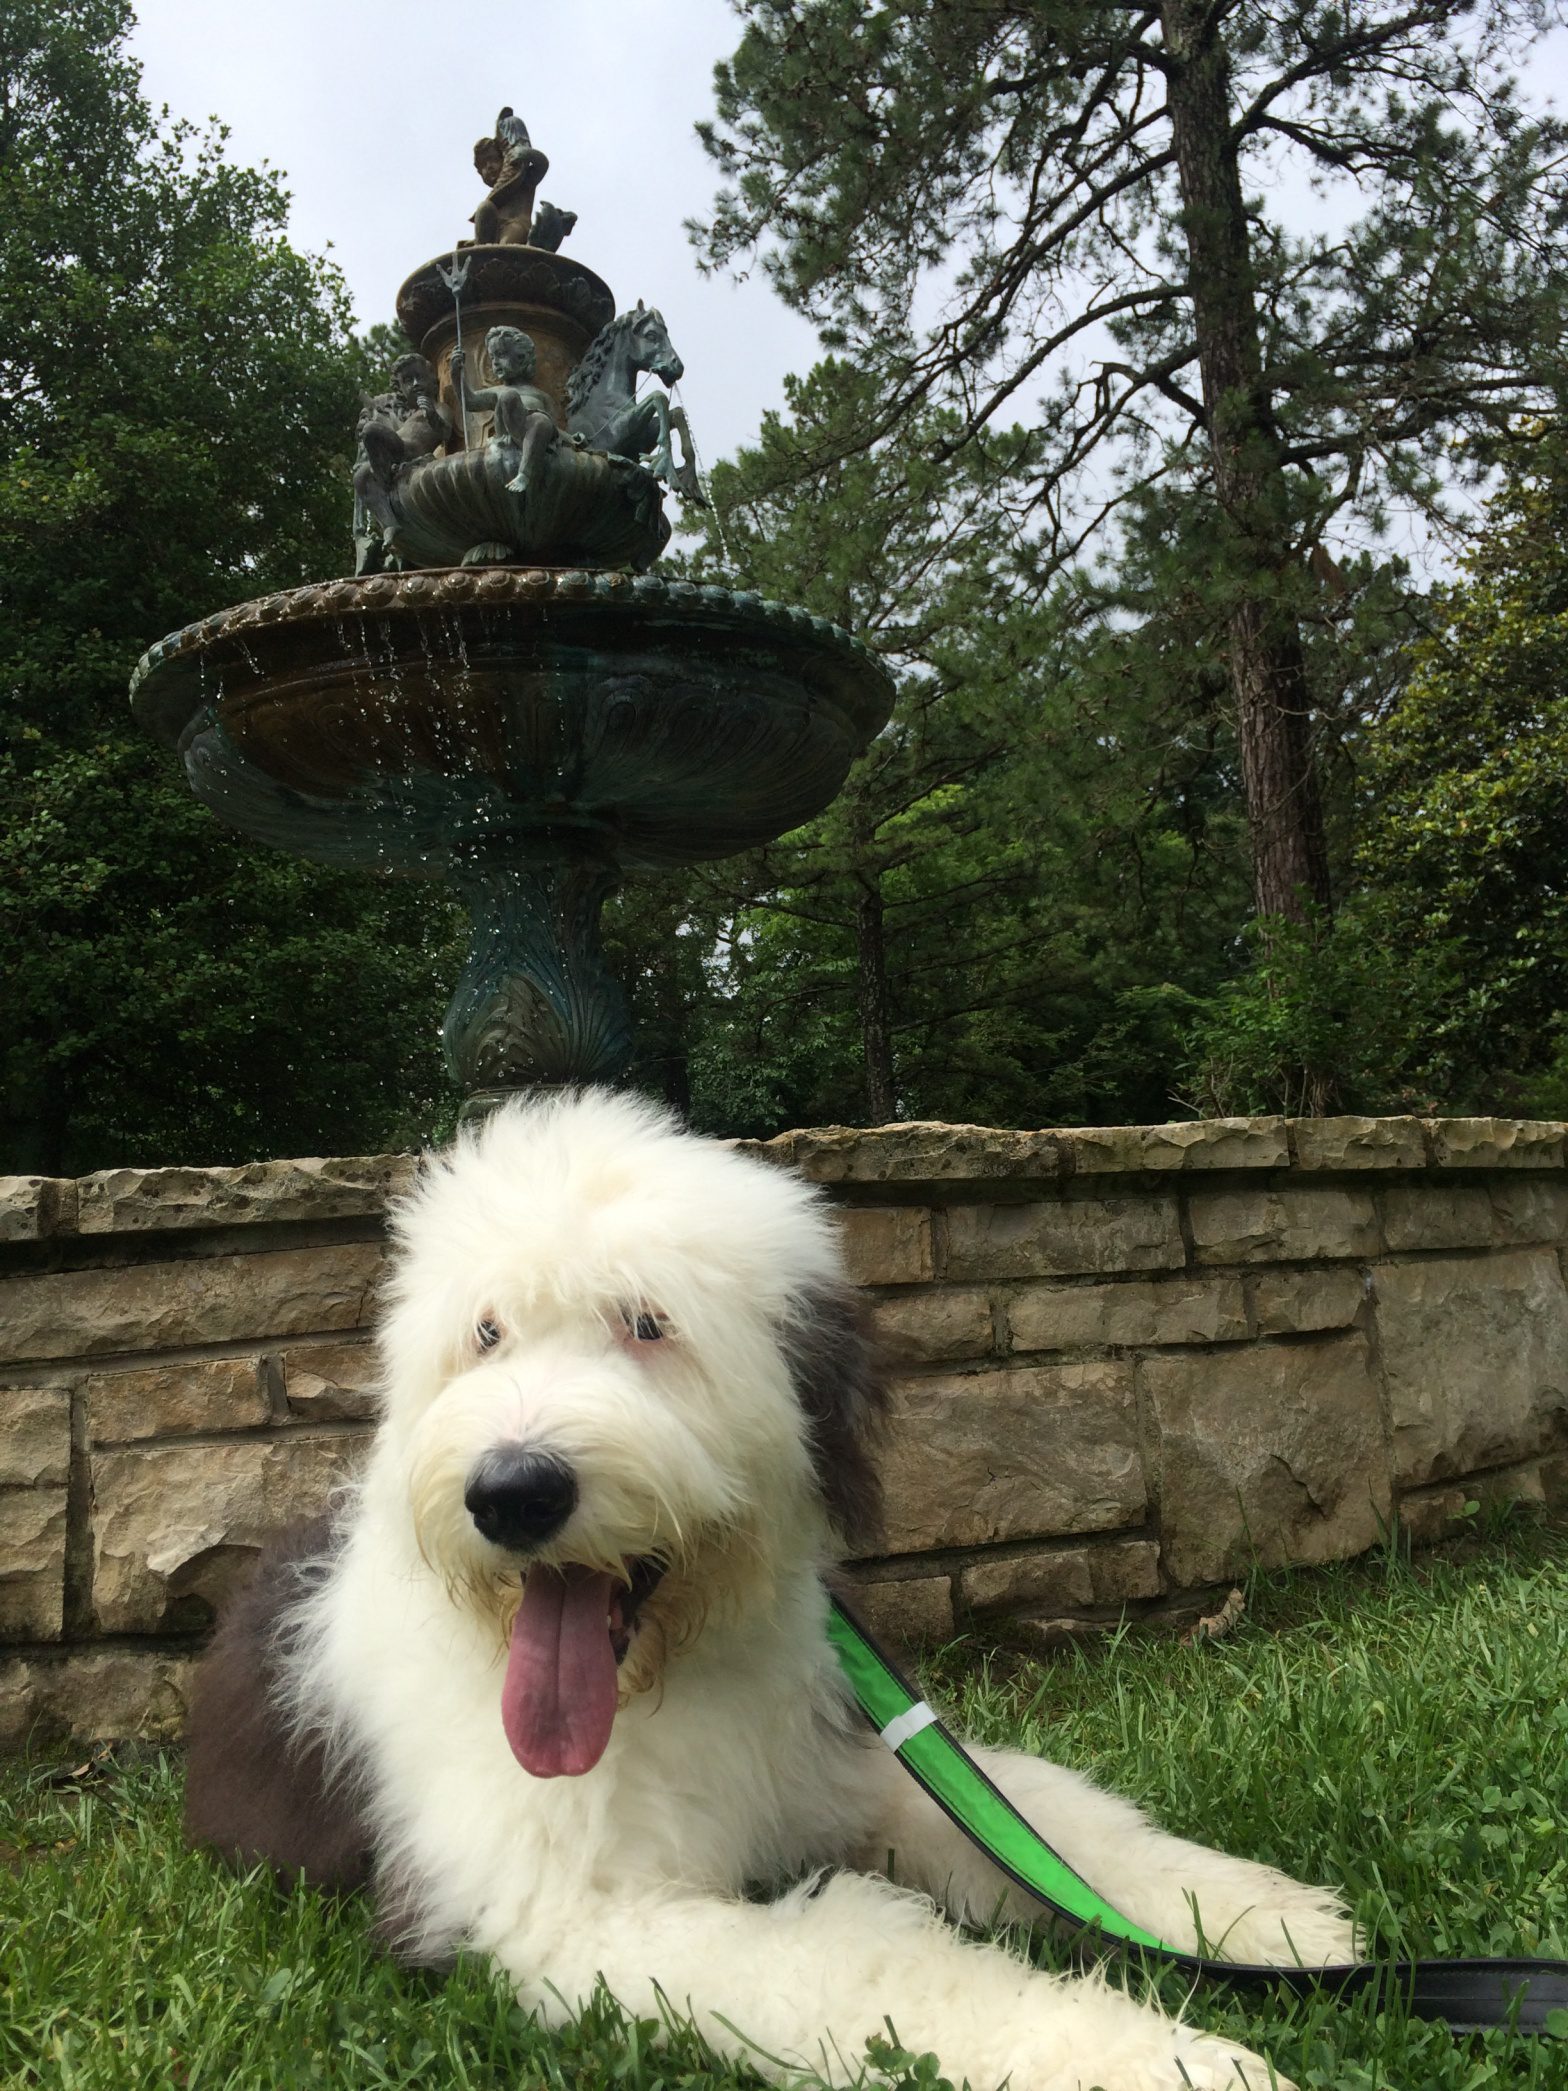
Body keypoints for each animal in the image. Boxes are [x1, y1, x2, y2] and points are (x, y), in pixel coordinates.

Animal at [183, 1095, 1354, 2091]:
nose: (512, 1491)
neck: (666, 1684)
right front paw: (1164, 2061)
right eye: (485, 1334)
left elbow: (1050, 1826)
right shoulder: (578, 1913)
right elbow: (878, 1967)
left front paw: (1272, 1920)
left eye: (648, 1323)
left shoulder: (851, 1767)